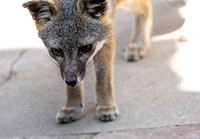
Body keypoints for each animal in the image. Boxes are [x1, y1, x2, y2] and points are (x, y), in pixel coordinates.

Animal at [23, 0, 152, 123]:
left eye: (85, 48)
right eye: (56, 51)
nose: (71, 81)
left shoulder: (106, 35)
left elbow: (103, 77)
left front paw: (106, 105)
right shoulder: (67, 72)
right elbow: (70, 81)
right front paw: (72, 106)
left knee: (146, 7)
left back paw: (138, 45)